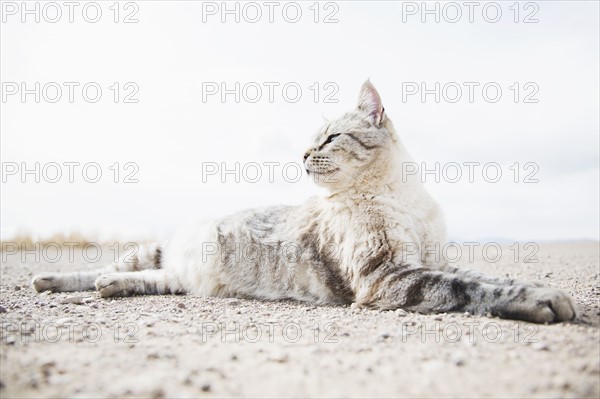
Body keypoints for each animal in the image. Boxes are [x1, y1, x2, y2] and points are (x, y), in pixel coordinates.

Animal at [32, 80, 576, 324]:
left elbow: (481, 277)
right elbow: (473, 289)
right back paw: (55, 280)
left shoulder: (428, 262)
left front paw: (533, 288)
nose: (301, 155)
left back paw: (108, 287)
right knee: (106, 267)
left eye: (329, 138)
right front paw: (540, 299)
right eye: (310, 141)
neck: (400, 196)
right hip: (155, 249)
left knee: (148, 281)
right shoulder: (390, 276)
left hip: (174, 276)